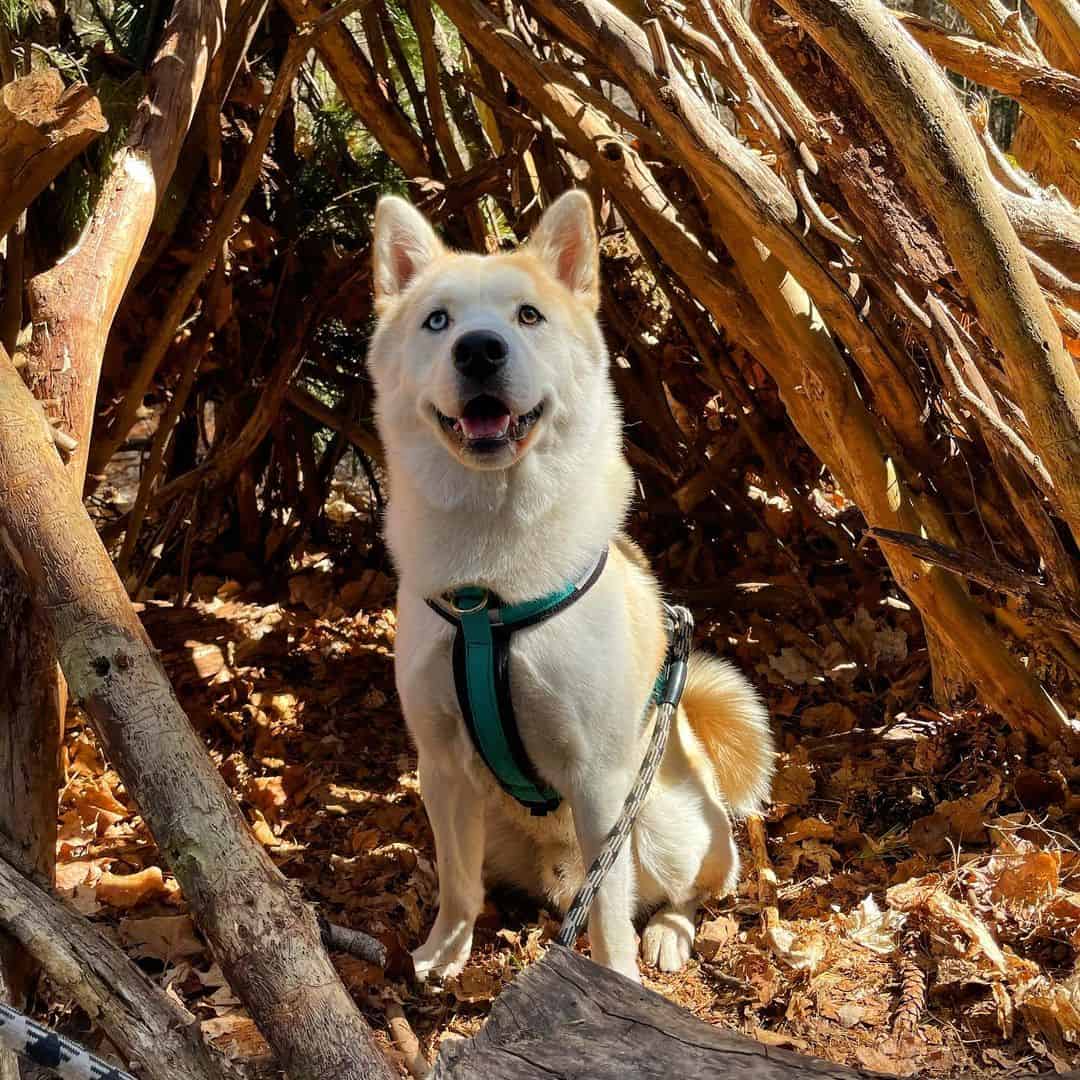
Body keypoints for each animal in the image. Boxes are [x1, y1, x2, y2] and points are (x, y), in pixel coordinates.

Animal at [367, 190, 773, 984]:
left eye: (528, 316)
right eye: (438, 320)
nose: (480, 349)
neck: (489, 588)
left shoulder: (598, 781)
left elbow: (609, 913)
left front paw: (613, 983)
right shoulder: (440, 766)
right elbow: (455, 881)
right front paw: (445, 951)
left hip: (669, 821)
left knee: (697, 887)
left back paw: (670, 932)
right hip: (494, 823)